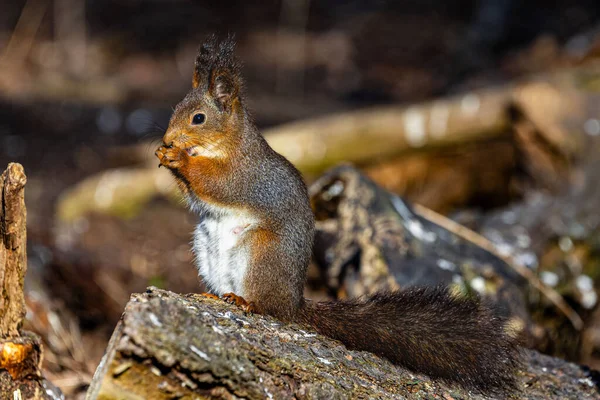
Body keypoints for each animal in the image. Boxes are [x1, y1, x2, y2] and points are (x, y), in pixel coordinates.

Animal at [155, 35, 520, 394]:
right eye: (176, 109)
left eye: (198, 118)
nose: (167, 138)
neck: (224, 145)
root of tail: (294, 303)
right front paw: (164, 154)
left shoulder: (245, 176)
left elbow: (217, 184)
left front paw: (179, 158)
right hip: (205, 248)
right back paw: (215, 295)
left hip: (262, 253)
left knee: (270, 308)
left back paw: (248, 303)